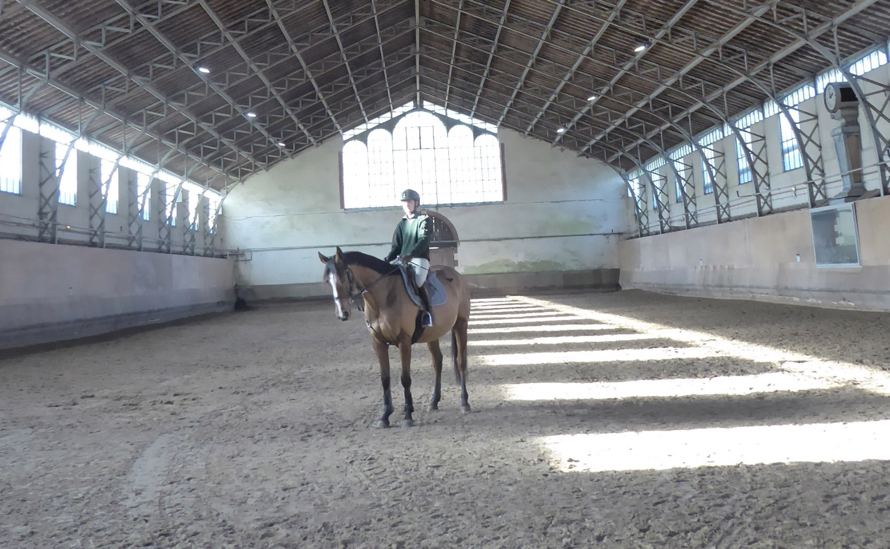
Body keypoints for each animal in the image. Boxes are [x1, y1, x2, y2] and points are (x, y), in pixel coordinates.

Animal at [320, 246, 472, 426]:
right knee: (437, 362)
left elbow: (405, 378)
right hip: (432, 334)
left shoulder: (404, 341)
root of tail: (455, 274)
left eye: (343, 278)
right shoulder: (378, 343)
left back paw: (464, 403)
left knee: (461, 362)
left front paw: (407, 415)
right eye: (327, 281)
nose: (342, 314)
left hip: (461, 324)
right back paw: (434, 402)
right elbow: (385, 379)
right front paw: (385, 415)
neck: (382, 297)